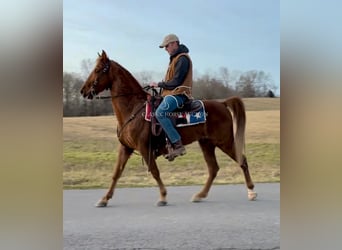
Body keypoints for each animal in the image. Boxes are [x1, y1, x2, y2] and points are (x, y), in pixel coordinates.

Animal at [80, 49, 256, 206]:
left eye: (97, 70)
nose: (83, 91)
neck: (133, 109)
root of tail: (222, 104)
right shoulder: (126, 148)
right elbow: (116, 173)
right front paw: (104, 199)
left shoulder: (144, 148)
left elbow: (154, 171)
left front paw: (163, 196)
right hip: (207, 144)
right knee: (213, 169)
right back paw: (200, 195)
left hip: (224, 142)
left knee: (242, 161)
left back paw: (251, 191)